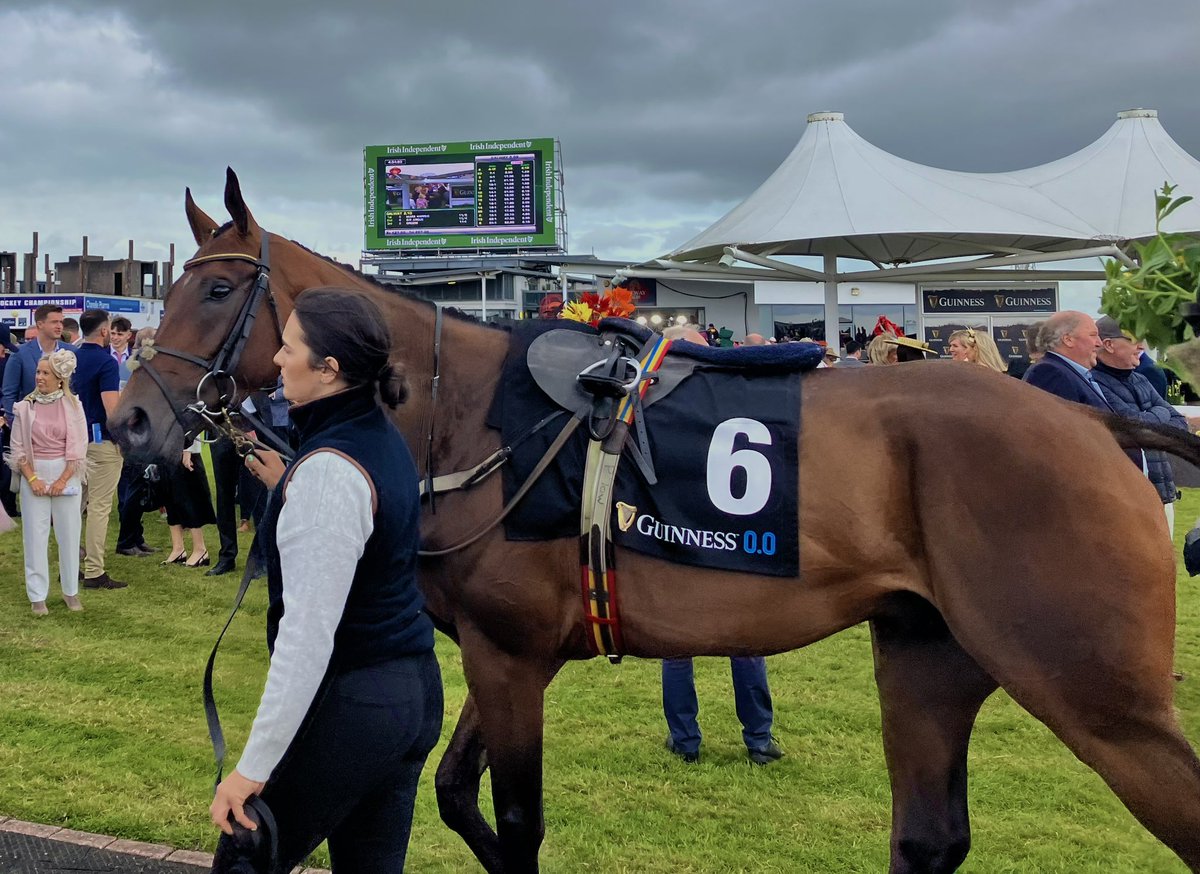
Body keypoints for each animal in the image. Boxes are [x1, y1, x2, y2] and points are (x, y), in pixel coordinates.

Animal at [114, 166, 1200, 869]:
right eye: (172, 286)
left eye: (219, 286)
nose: (130, 419)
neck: (470, 415)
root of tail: (1090, 421)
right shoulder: (512, 652)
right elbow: (456, 792)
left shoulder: (512, 656)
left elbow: (514, 822)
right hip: (928, 657)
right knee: (930, 838)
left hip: (1094, 691)